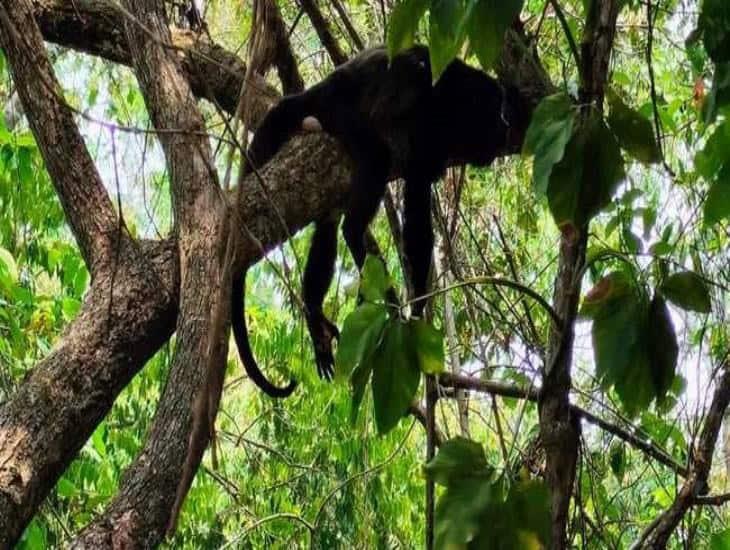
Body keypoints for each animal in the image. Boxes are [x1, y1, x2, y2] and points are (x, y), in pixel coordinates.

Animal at [233, 43, 528, 396]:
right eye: (495, 118)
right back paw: (361, 251)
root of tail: (322, 87)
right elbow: (416, 213)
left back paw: (314, 314)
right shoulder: (428, 127)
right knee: (373, 162)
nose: (504, 130)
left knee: (328, 225)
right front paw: (417, 307)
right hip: (342, 113)